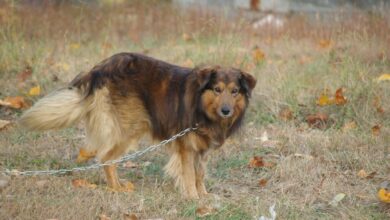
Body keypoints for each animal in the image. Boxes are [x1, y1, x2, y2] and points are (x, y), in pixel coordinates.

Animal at [19, 52, 256, 199]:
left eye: (235, 91)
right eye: (217, 89)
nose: (226, 111)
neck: (202, 106)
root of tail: (100, 68)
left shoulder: (202, 149)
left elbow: (200, 174)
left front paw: (204, 195)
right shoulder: (186, 147)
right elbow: (189, 174)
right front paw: (193, 198)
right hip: (131, 125)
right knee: (106, 158)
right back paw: (116, 188)